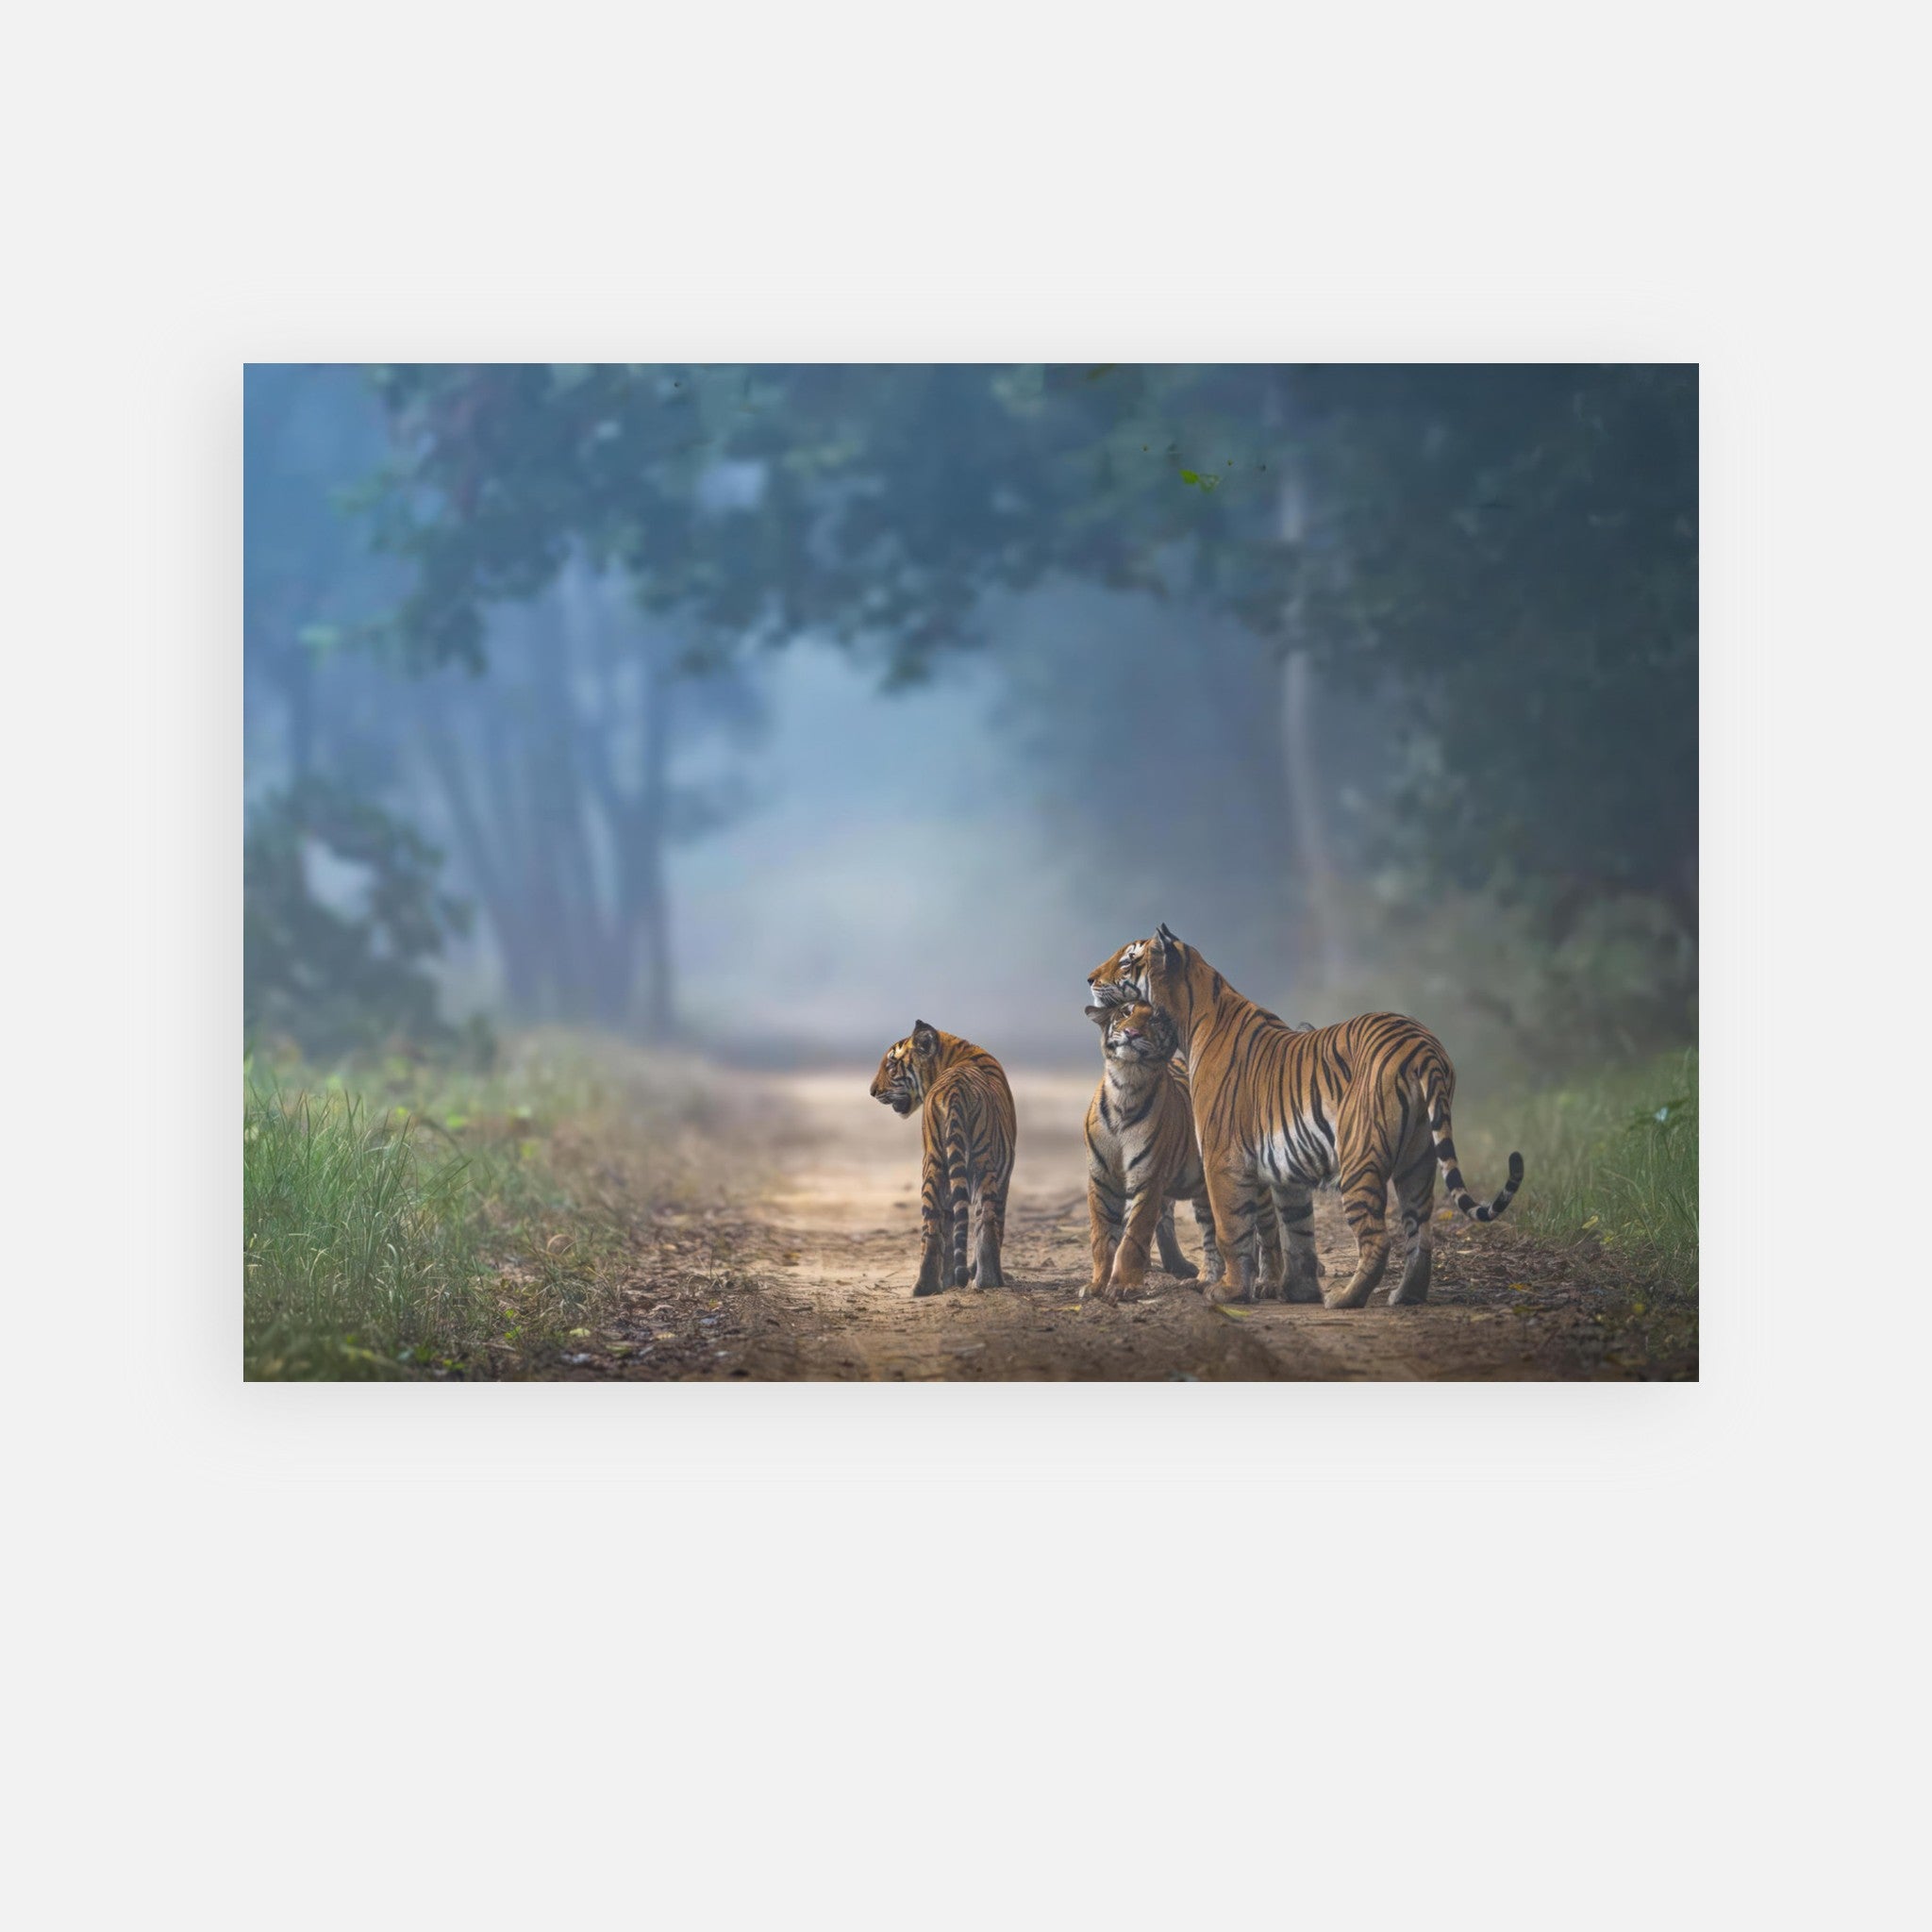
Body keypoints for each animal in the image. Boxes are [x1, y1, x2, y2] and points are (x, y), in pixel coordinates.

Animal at [869, 1019, 1017, 1296]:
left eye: (891, 1066)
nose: (872, 1091)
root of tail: (955, 1089)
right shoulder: (1005, 1176)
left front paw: (950, 1280)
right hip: (979, 1162)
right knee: (983, 1221)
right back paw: (987, 1280)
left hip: (935, 1163)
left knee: (934, 1226)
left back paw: (927, 1287)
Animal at [1083, 1000, 1224, 1303]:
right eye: (1126, 1012)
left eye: (1156, 1020)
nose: (1132, 1032)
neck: (1125, 1085)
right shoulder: (1101, 1180)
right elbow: (1102, 1237)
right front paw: (1097, 1285)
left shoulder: (1147, 1180)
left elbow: (1134, 1236)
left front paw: (1123, 1285)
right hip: (1203, 1192)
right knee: (1209, 1234)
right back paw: (1203, 1279)